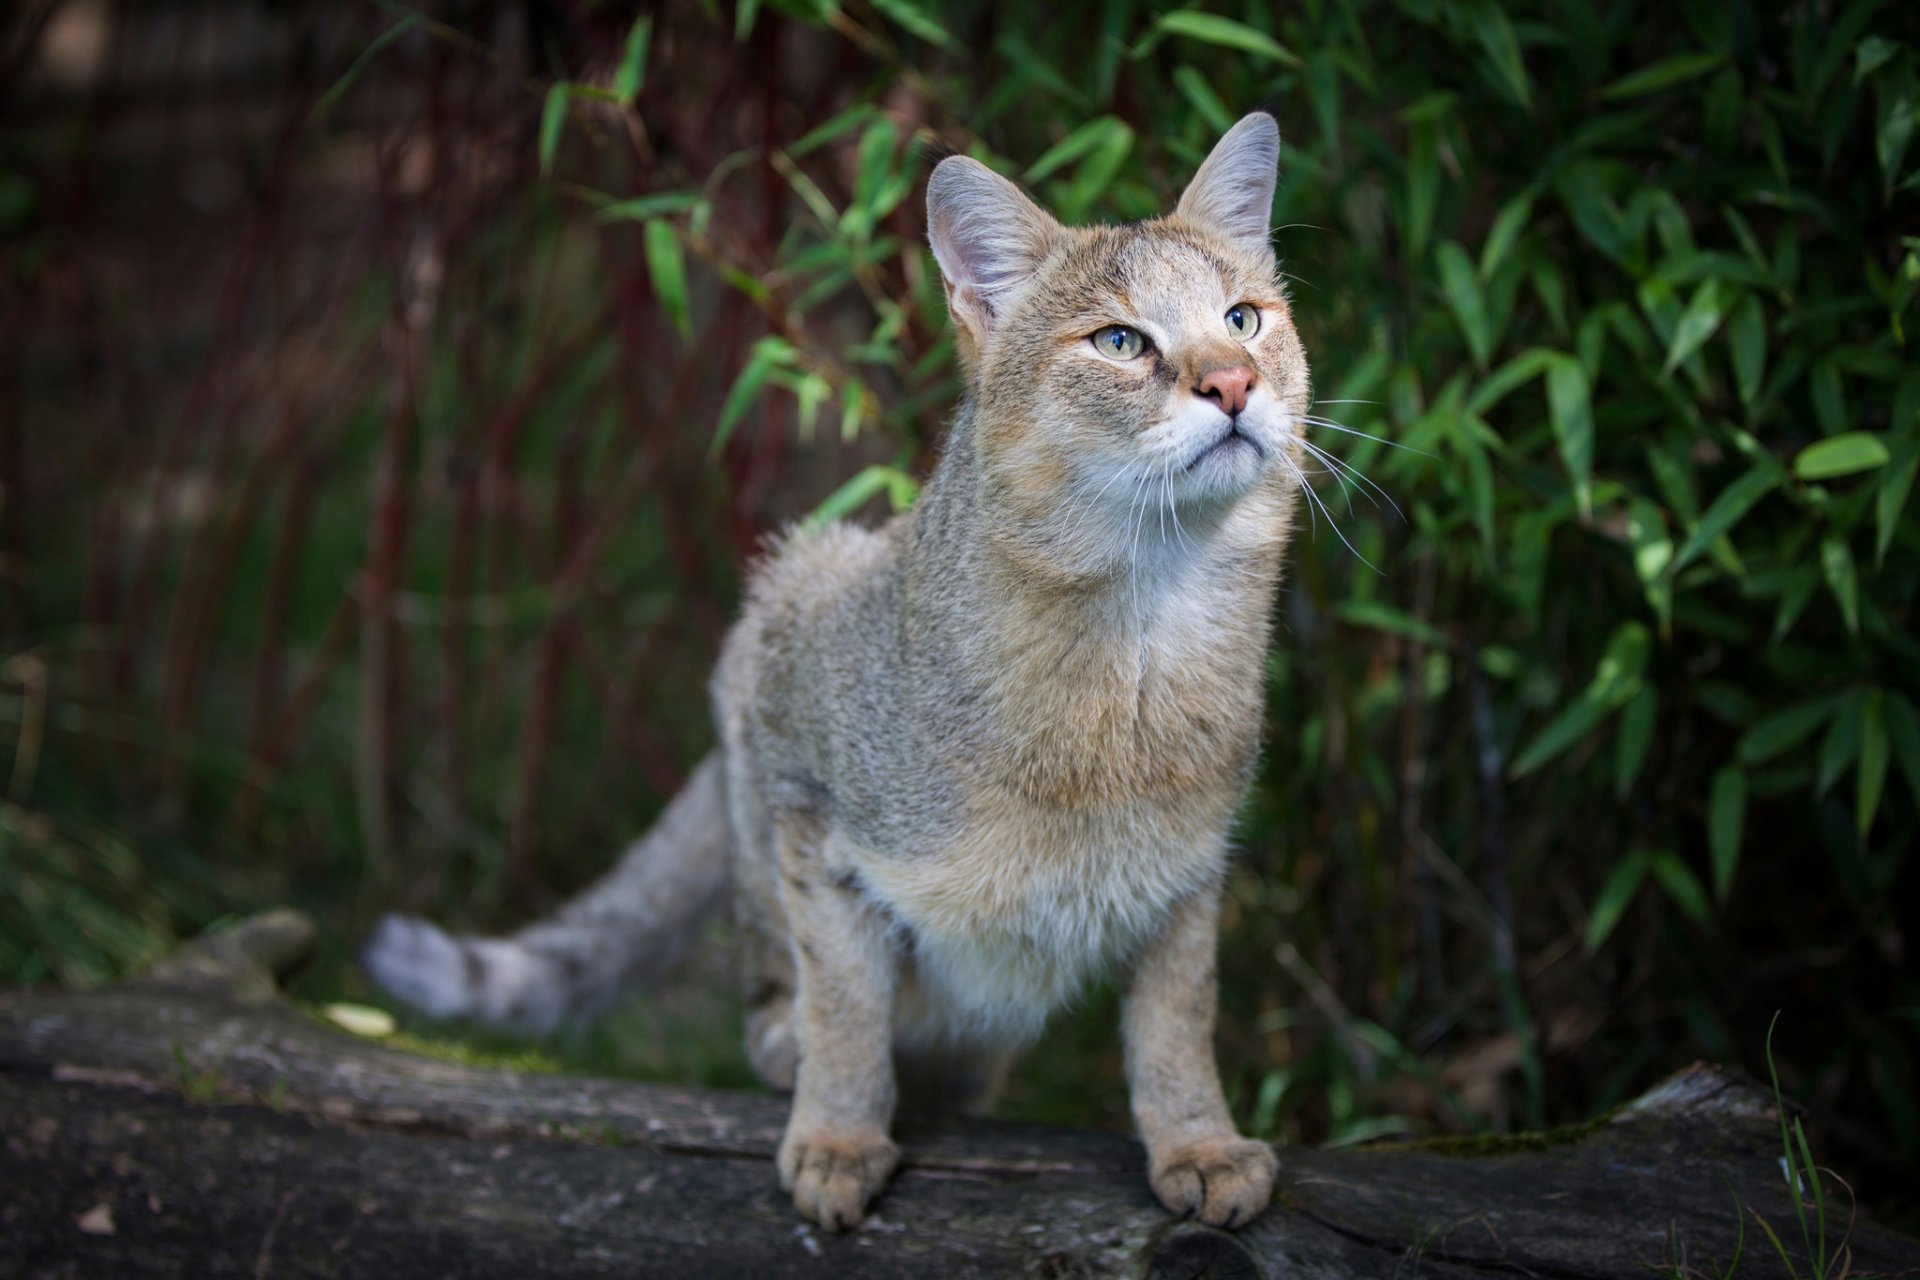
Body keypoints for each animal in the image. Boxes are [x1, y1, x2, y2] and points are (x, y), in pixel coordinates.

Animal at [360, 115, 1313, 1235]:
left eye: (1244, 320)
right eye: (1120, 341)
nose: (1234, 386)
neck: (1137, 648)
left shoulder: (1187, 876)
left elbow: (1177, 1021)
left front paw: (1197, 1142)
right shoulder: (802, 763)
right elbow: (846, 1000)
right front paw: (839, 1133)